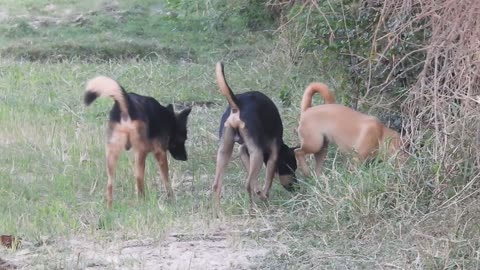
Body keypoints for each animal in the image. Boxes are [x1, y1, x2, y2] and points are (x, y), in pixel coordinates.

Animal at [83, 76, 190, 207]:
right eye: (183, 139)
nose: (185, 158)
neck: (169, 120)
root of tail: (126, 103)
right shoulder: (160, 153)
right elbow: (166, 179)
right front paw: (171, 197)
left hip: (112, 153)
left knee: (110, 183)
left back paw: (110, 206)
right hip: (140, 152)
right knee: (139, 178)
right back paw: (142, 200)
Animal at [213, 62, 298, 206]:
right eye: (292, 167)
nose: (297, 187)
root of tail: (238, 105)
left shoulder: (244, 150)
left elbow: (255, 181)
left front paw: (260, 193)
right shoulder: (272, 154)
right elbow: (268, 180)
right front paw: (264, 196)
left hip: (225, 151)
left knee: (217, 185)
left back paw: (218, 212)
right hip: (257, 154)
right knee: (247, 184)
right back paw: (252, 208)